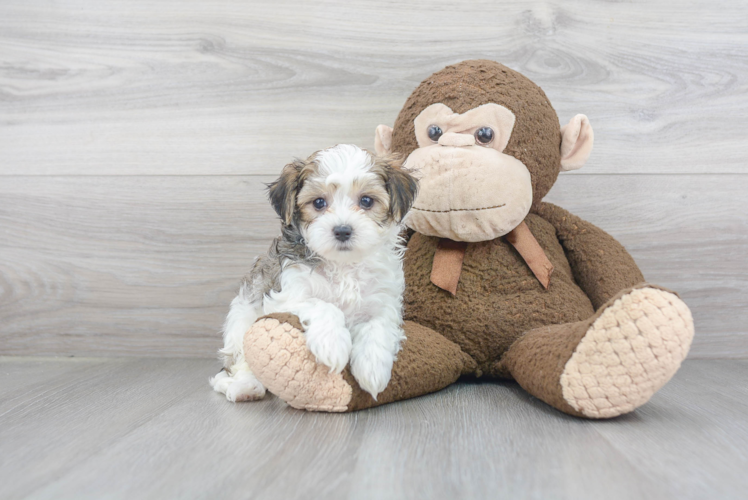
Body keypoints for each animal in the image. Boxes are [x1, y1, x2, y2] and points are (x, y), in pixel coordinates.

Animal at [210, 144, 418, 402]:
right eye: (319, 203)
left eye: (367, 200)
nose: (342, 230)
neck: (343, 264)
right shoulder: (286, 293)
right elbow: (323, 305)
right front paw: (333, 344)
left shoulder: (383, 300)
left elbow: (377, 326)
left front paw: (373, 368)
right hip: (239, 323)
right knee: (235, 364)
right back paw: (245, 386)